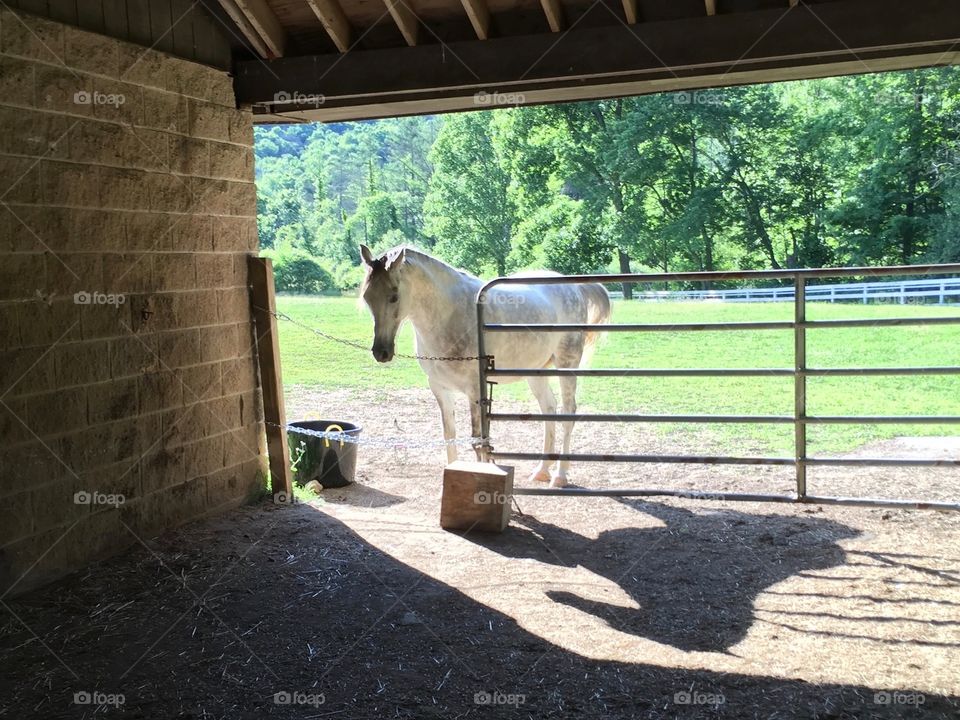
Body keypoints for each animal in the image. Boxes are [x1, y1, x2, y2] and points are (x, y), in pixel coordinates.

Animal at [356, 245, 612, 486]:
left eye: (394, 296)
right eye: (367, 297)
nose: (381, 352)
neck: (447, 314)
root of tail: (575, 288)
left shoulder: (474, 391)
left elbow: (477, 440)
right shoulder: (440, 389)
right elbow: (450, 434)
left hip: (567, 363)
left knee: (568, 413)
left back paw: (559, 476)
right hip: (535, 371)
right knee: (549, 409)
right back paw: (541, 471)